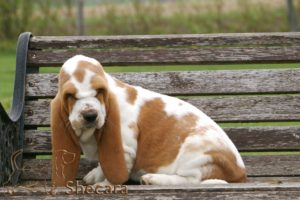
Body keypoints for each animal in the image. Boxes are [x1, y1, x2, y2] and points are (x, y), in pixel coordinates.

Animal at [50, 54, 246, 186]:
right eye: (70, 96)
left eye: (99, 92)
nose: (90, 115)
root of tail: (240, 172)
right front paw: (94, 175)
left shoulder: (124, 147)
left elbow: (116, 170)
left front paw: (105, 184)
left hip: (194, 150)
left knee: (191, 180)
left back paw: (151, 179)